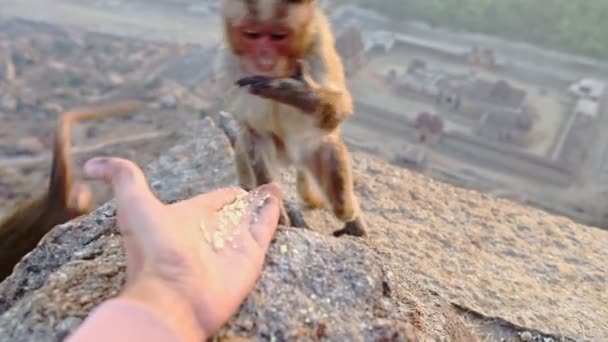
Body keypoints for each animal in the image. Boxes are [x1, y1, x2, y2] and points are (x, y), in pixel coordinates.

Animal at [216, 0, 368, 238]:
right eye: (251, 34)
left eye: (279, 36)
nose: (264, 57)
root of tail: (293, 158)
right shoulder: (229, 67)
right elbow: (256, 133)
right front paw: (271, 207)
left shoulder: (319, 46)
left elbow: (340, 109)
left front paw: (293, 91)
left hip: (311, 150)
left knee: (338, 192)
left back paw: (352, 219)